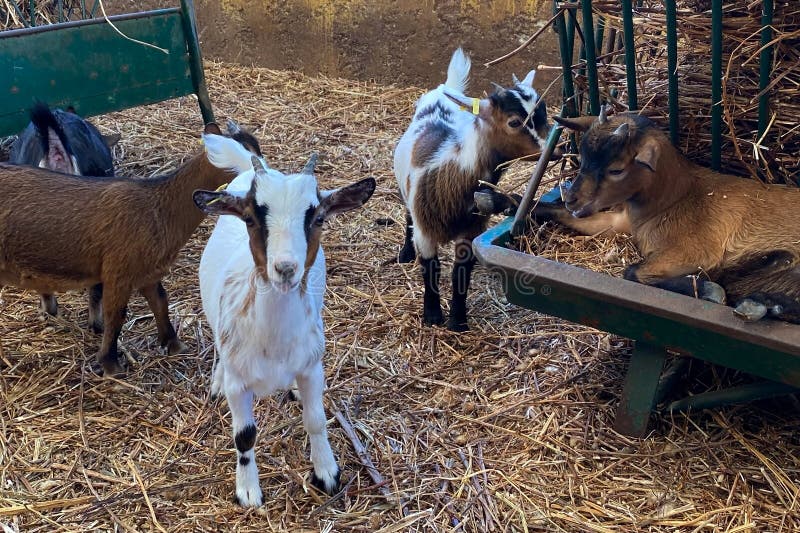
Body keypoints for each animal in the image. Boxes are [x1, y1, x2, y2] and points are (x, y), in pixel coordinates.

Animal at [0, 122, 260, 376]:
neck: (159, 208)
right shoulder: (119, 270)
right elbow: (116, 315)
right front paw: (111, 365)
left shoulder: (147, 271)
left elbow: (160, 302)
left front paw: (174, 344)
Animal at [195, 142, 376, 508]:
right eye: (250, 218)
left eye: (318, 218)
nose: (286, 268)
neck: (273, 340)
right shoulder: (240, 385)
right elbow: (244, 436)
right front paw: (248, 491)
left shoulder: (312, 367)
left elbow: (316, 420)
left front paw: (327, 472)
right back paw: (216, 379)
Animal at [394, 46, 552, 328]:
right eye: (514, 122)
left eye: (543, 112)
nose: (553, 150)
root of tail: (443, 90)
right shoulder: (425, 231)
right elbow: (430, 269)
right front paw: (432, 316)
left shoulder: (471, 230)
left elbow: (460, 275)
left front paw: (458, 322)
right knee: (407, 214)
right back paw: (405, 253)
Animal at [536, 110, 800, 322]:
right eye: (583, 158)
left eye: (616, 169)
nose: (571, 199)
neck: (675, 199)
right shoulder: (621, 222)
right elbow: (583, 220)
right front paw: (529, 206)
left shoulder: (696, 251)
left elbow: (634, 271)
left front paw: (710, 292)